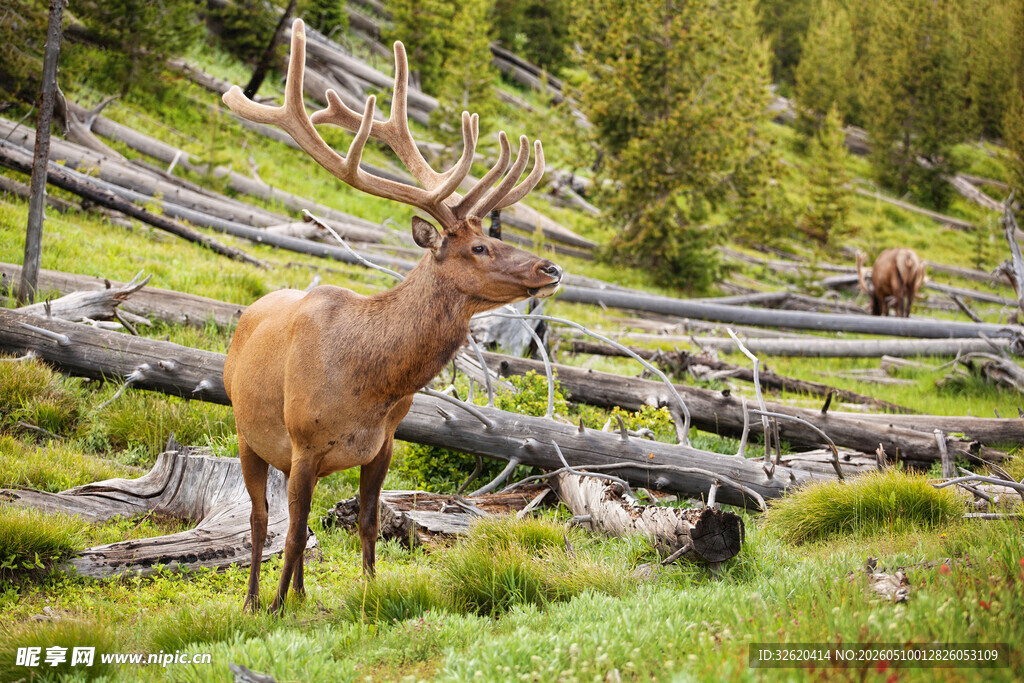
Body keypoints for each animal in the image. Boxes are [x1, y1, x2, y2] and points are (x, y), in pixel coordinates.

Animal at [221, 19, 562, 613]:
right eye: (478, 248)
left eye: (494, 237)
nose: (550, 267)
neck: (371, 383)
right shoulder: (305, 443)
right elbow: (292, 531)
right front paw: (276, 608)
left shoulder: (384, 444)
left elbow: (368, 524)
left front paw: (368, 593)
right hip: (247, 433)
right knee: (262, 521)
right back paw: (255, 601)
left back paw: (303, 593)